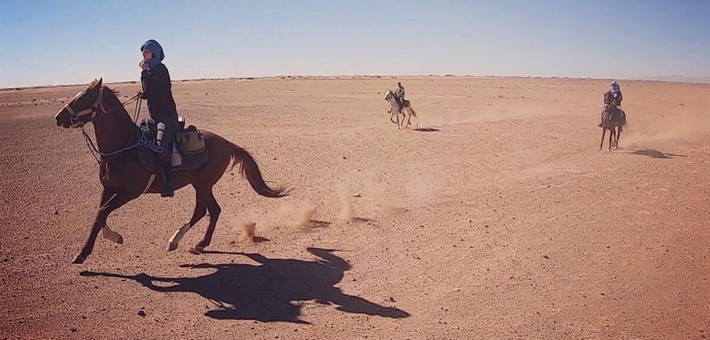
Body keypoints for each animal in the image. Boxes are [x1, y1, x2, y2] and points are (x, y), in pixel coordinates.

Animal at [54, 79, 290, 262]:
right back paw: (200, 243)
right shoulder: (109, 188)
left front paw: (115, 237)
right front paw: (82, 253)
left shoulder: (130, 192)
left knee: (202, 211)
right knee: (213, 210)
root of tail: (226, 142)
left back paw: (175, 241)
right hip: (201, 184)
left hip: (203, 184)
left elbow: (103, 213)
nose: (58, 117)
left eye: (85, 97)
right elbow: (99, 215)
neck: (124, 148)